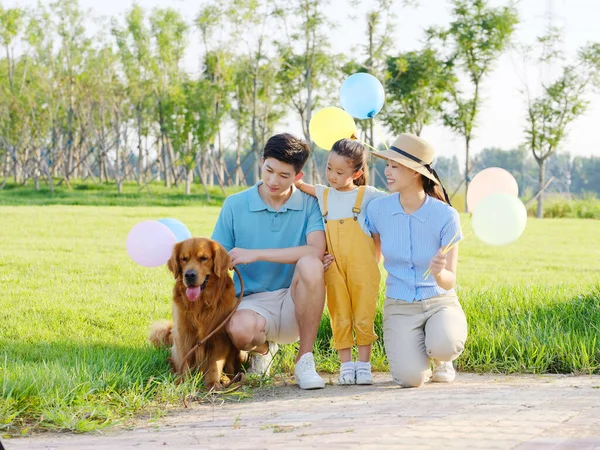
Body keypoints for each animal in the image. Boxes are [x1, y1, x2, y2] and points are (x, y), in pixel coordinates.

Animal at [150, 237, 246, 388]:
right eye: (184, 259)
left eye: (204, 258)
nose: (189, 275)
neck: (201, 304)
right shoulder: (183, 333)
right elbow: (185, 361)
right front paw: (183, 382)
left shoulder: (219, 335)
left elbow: (215, 364)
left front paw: (213, 383)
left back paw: (226, 379)